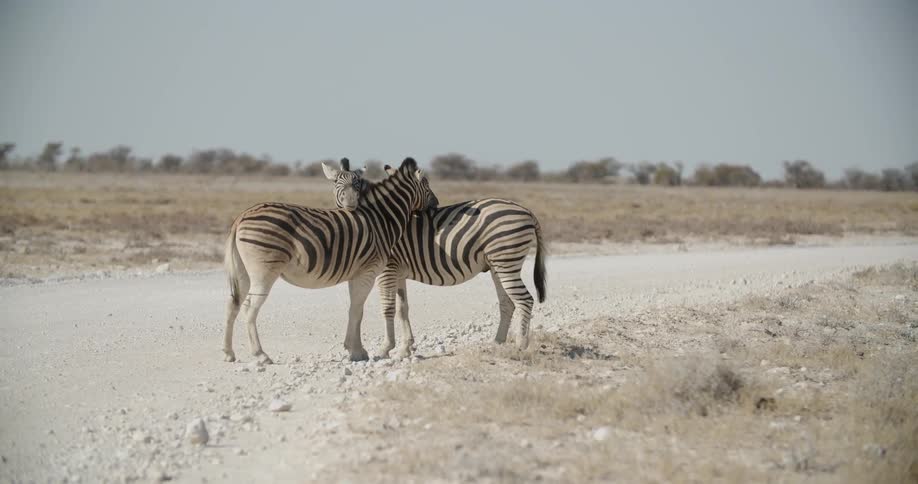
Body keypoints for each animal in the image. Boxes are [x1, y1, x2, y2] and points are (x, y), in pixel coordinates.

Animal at [222, 157, 438, 364]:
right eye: (426, 185)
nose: (436, 205)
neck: (381, 220)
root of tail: (242, 216)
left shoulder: (357, 273)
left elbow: (355, 309)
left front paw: (354, 349)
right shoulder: (368, 271)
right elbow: (357, 310)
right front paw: (357, 352)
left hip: (243, 271)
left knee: (233, 303)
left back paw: (228, 353)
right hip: (264, 271)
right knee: (249, 306)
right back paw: (260, 355)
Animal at [328, 164, 546, 358]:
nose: (349, 207)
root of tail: (526, 210)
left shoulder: (387, 269)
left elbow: (388, 308)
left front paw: (385, 349)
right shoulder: (398, 271)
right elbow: (402, 309)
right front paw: (405, 349)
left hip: (506, 260)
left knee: (525, 300)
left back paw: (520, 346)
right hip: (497, 265)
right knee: (508, 302)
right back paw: (497, 343)